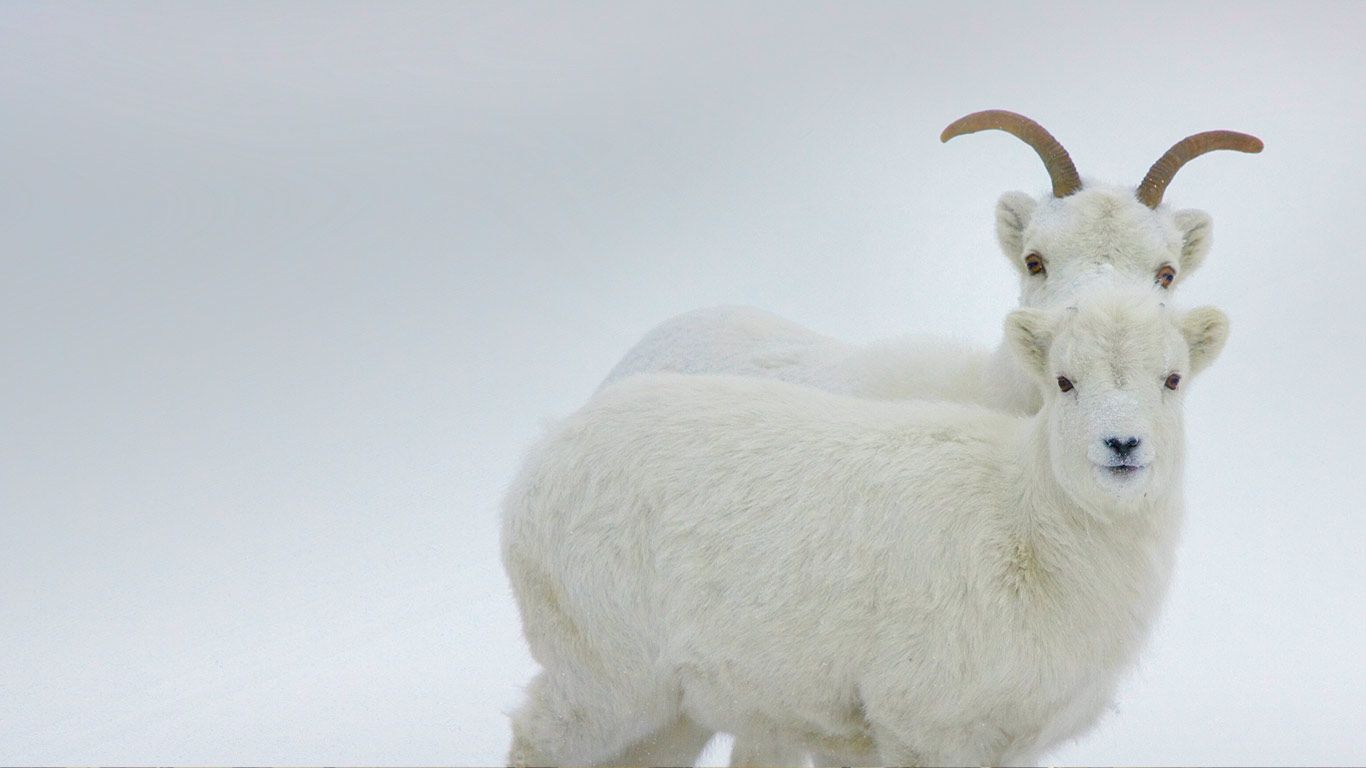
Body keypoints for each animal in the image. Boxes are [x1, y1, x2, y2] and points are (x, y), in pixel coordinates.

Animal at [502, 288, 1230, 766]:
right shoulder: (923, 726)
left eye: (1172, 379)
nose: (1122, 444)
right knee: (534, 739)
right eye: (1064, 381)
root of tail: (540, 456)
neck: (1027, 528)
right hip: (602, 674)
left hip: (670, 706)